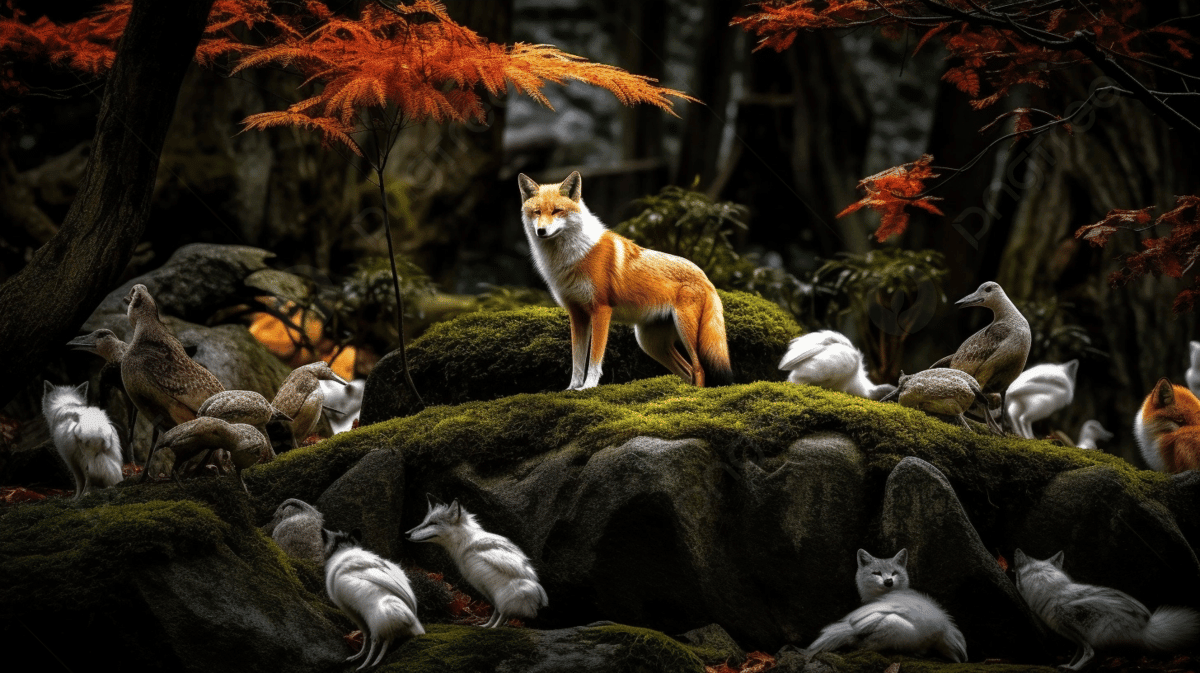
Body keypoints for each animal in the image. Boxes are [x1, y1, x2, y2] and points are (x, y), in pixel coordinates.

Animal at [322, 529, 424, 670]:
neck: (343, 550)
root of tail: (408, 618)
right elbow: (365, 635)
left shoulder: (349, 610)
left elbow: (365, 635)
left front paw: (358, 657)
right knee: (388, 638)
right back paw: (375, 661)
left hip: (373, 619)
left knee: (377, 639)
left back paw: (368, 664)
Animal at [406, 494, 547, 628]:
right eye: (425, 522)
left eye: (433, 523)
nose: (406, 533)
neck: (464, 543)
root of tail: (538, 590)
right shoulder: (485, 589)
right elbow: (495, 613)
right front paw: (486, 626)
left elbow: (500, 614)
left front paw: (492, 627)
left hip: (503, 595)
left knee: (505, 613)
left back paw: (495, 628)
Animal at [518, 171, 733, 389]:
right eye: (537, 212)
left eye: (557, 211)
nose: (541, 231)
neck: (574, 256)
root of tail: (705, 276)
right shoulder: (577, 314)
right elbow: (577, 360)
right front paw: (572, 388)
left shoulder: (601, 310)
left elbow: (594, 359)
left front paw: (588, 387)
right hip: (649, 343)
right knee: (688, 371)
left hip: (684, 330)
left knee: (699, 369)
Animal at [809, 548, 967, 662]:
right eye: (877, 573)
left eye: (894, 573)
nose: (888, 581)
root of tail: (942, 628)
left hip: (894, 625)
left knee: (864, 644)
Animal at [1013, 549, 1199, 670]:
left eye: (1016, 576)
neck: (1051, 591)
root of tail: (1147, 626)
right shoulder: (1074, 638)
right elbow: (1077, 652)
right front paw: (1069, 664)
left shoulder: (1070, 629)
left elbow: (1087, 652)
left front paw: (1072, 668)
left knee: (1095, 652)